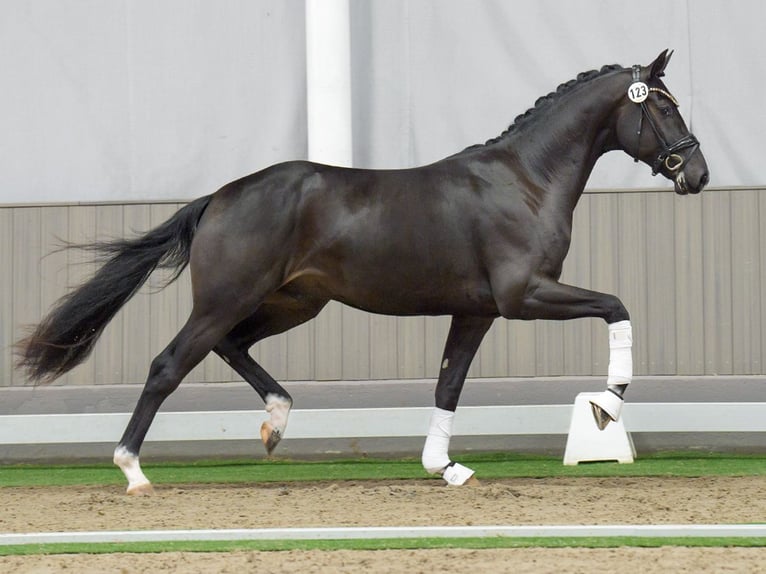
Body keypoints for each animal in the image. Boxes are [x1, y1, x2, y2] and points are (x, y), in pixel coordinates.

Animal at [18, 50, 712, 496]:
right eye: (666, 110)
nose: (698, 175)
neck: (526, 179)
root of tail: (219, 197)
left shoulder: (477, 310)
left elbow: (449, 384)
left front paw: (445, 468)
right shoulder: (524, 296)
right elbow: (617, 305)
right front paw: (607, 405)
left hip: (292, 303)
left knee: (232, 347)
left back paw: (275, 422)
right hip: (227, 299)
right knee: (169, 365)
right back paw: (133, 470)